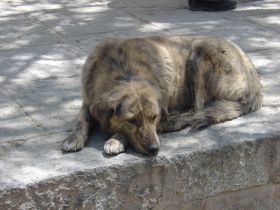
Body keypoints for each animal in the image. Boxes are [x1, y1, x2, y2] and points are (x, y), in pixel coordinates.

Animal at [61, 36, 262, 156]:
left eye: (154, 117)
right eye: (131, 121)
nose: (154, 149)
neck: (124, 71)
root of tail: (254, 80)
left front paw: (115, 140)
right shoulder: (88, 101)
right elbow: (82, 120)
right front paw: (73, 138)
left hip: (200, 51)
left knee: (198, 109)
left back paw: (174, 121)